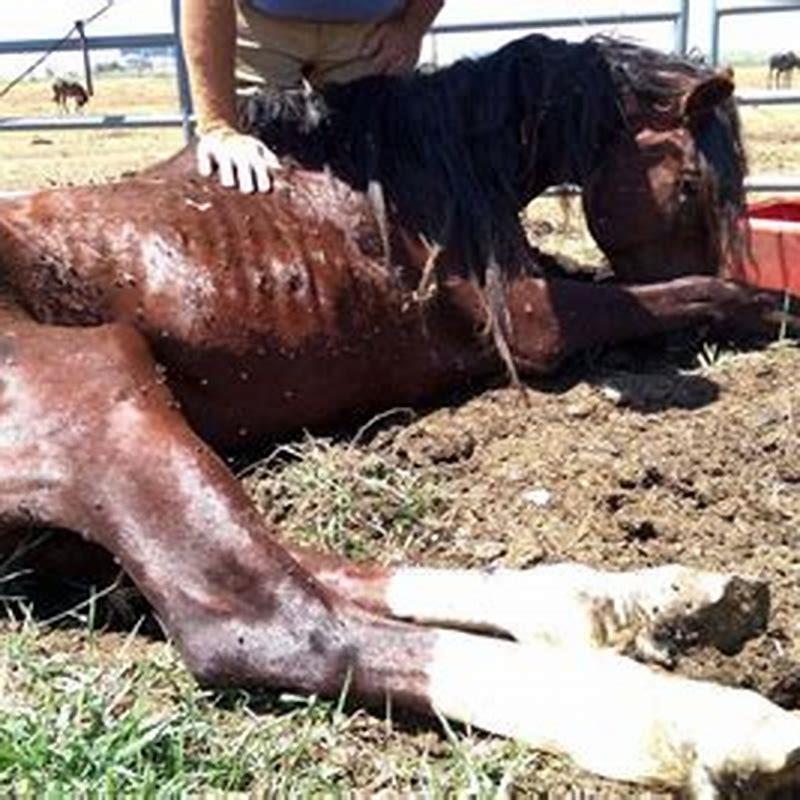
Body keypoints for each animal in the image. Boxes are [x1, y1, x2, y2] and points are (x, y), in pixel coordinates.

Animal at [1, 34, 799, 796]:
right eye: (691, 184)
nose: (680, 353)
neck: (419, 171)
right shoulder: (538, 325)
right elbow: (699, 293)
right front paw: (774, 309)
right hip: (104, 391)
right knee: (271, 621)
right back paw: (712, 727)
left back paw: (640, 603)